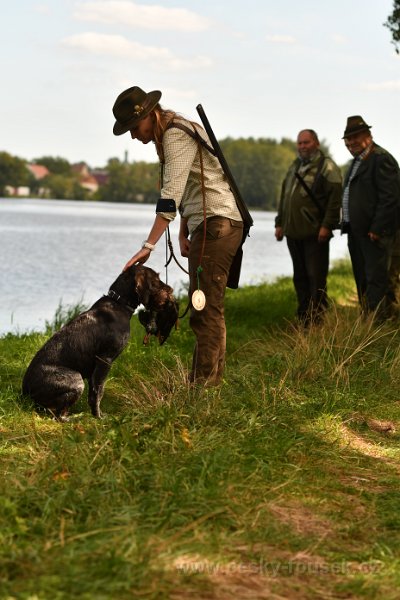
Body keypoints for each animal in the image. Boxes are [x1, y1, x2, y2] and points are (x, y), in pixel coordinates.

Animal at [21, 264, 178, 420]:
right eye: (156, 279)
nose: (171, 290)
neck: (119, 304)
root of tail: (24, 393)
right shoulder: (104, 360)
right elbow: (99, 391)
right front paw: (98, 417)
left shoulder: (95, 368)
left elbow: (94, 392)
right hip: (76, 380)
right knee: (58, 415)